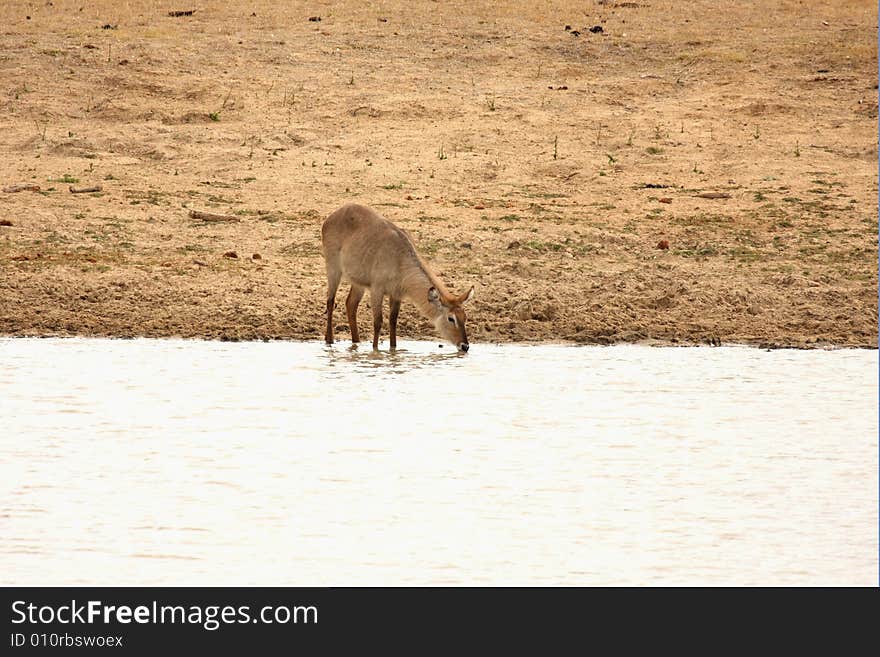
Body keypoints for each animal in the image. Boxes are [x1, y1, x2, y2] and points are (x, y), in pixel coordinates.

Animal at [322, 204, 474, 348]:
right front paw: (375, 349)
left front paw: (393, 348)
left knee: (350, 304)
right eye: (451, 318)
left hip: (358, 282)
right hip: (333, 268)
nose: (465, 346)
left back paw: (356, 342)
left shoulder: (396, 294)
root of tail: (333, 215)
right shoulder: (377, 289)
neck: (400, 258)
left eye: (465, 317)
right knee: (331, 301)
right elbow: (378, 321)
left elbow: (393, 321)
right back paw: (329, 340)